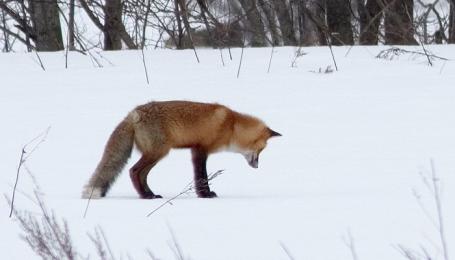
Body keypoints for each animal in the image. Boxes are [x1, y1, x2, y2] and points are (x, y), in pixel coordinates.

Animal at [82, 100, 282, 199]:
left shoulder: (195, 150)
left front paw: (202, 194)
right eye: (261, 150)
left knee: (141, 174)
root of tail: (133, 114)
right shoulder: (201, 149)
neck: (231, 126)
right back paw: (146, 196)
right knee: (134, 171)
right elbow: (202, 176)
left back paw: (150, 194)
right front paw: (206, 195)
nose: (257, 166)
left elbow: (199, 176)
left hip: (156, 154)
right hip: (158, 152)